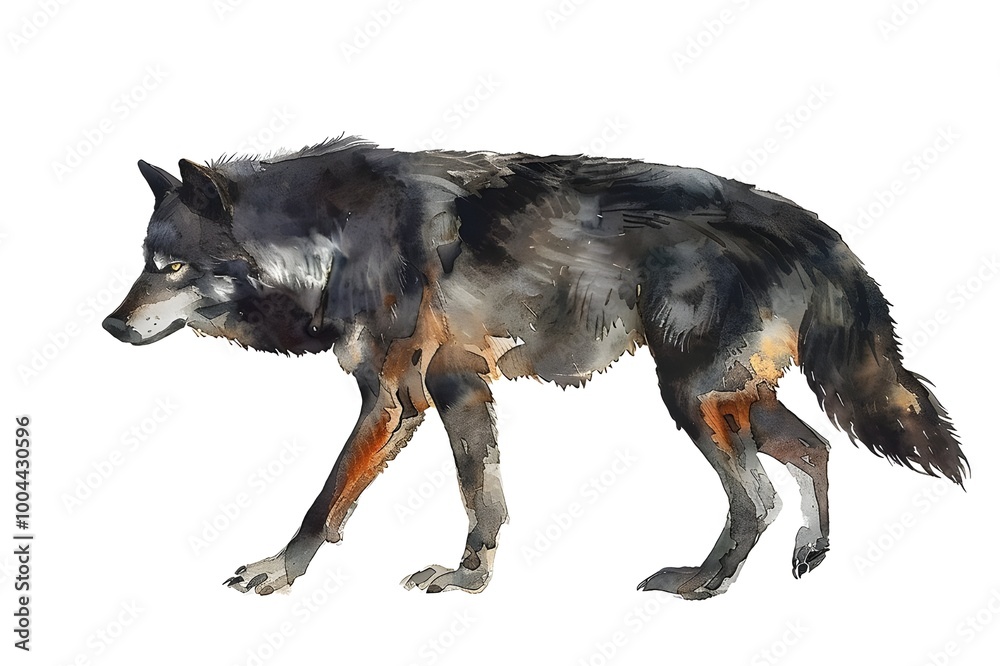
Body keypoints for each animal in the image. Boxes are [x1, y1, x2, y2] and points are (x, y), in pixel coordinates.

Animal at [103, 136, 967, 599]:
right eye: (144, 261)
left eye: (171, 265)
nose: (110, 325)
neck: (332, 240)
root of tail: (815, 228)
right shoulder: (456, 390)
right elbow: (483, 501)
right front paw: (469, 583)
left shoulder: (397, 399)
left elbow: (325, 500)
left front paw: (282, 570)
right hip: (729, 398)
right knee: (814, 450)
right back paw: (810, 556)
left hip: (692, 399)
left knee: (756, 497)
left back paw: (701, 585)